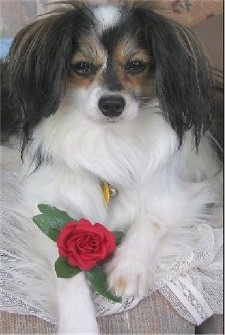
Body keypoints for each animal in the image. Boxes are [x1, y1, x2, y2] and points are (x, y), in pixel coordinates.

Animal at [0, 0, 222, 334]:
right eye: (81, 67)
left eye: (136, 65)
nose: (112, 105)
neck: (107, 138)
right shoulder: (45, 207)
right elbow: (66, 271)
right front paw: (79, 325)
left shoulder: (179, 196)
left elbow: (150, 221)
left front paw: (127, 271)